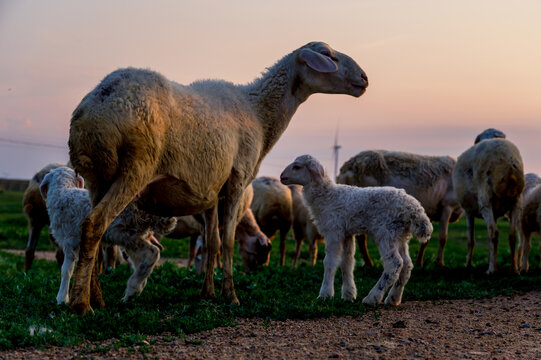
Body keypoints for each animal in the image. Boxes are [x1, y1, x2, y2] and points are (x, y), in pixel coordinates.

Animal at [40, 166, 175, 304]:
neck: (63, 192)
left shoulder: (70, 240)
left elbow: (66, 270)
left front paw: (62, 298)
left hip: (124, 232)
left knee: (152, 253)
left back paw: (132, 288)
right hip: (133, 235)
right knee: (141, 259)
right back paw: (135, 290)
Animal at [65, 40, 364, 314]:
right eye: (328, 55)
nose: (364, 79)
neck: (258, 111)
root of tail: (95, 106)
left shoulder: (211, 191)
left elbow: (212, 243)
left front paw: (207, 293)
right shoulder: (237, 181)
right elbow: (228, 242)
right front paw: (230, 296)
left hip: (96, 178)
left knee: (94, 231)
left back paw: (97, 298)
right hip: (136, 167)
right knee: (95, 224)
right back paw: (82, 305)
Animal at [280, 155, 432, 306]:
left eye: (297, 167)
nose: (281, 176)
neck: (327, 197)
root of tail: (414, 209)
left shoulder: (333, 230)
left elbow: (329, 262)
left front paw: (325, 295)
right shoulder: (346, 233)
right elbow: (347, 262)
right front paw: (348, 295)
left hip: (386, 231)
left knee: (394, 264)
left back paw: (372, 298)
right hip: (400, 234)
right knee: (406, 265)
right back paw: (393, 299)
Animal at [452, 133, 524, 272]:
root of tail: (507, 160)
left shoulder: (468, 211)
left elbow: (471, 240)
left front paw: (469, 264)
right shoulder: (494, 212)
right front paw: (491, 260)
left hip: (485, 201)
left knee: (494, 233)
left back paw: (491, 270)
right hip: (516, 202)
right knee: (511, 235)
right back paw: (514, 268)